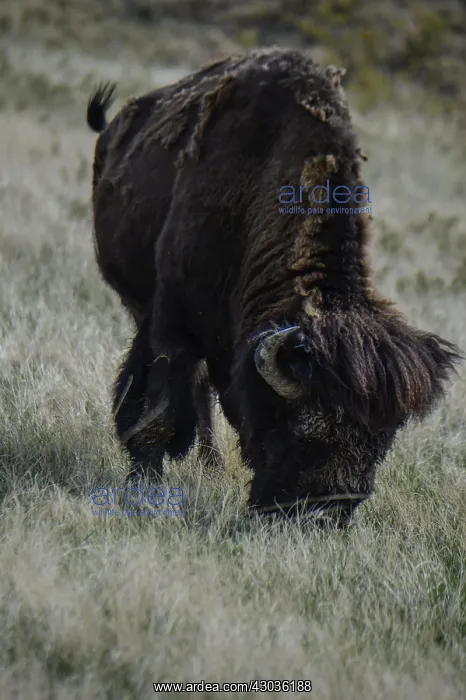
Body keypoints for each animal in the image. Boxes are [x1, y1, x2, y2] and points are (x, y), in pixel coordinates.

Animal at [87, 47, 461, 524]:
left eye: (382, 442)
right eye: (305, 430)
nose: (323, 517)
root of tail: (116, 125)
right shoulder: (173, 326)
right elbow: (160, 412)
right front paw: (144, 487)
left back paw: (212, 465)